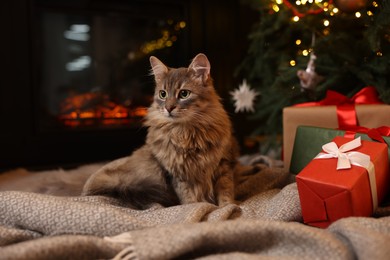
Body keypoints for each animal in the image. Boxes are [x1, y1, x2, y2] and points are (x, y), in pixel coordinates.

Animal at [81, 53, 241, 208]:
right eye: (163, 94)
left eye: (184, 94)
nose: (168, 108)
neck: (186, 133)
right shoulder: (177, 173)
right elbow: (188, 196)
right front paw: (194, 206)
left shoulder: (224, 163)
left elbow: (225, 190)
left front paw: (229, 206)